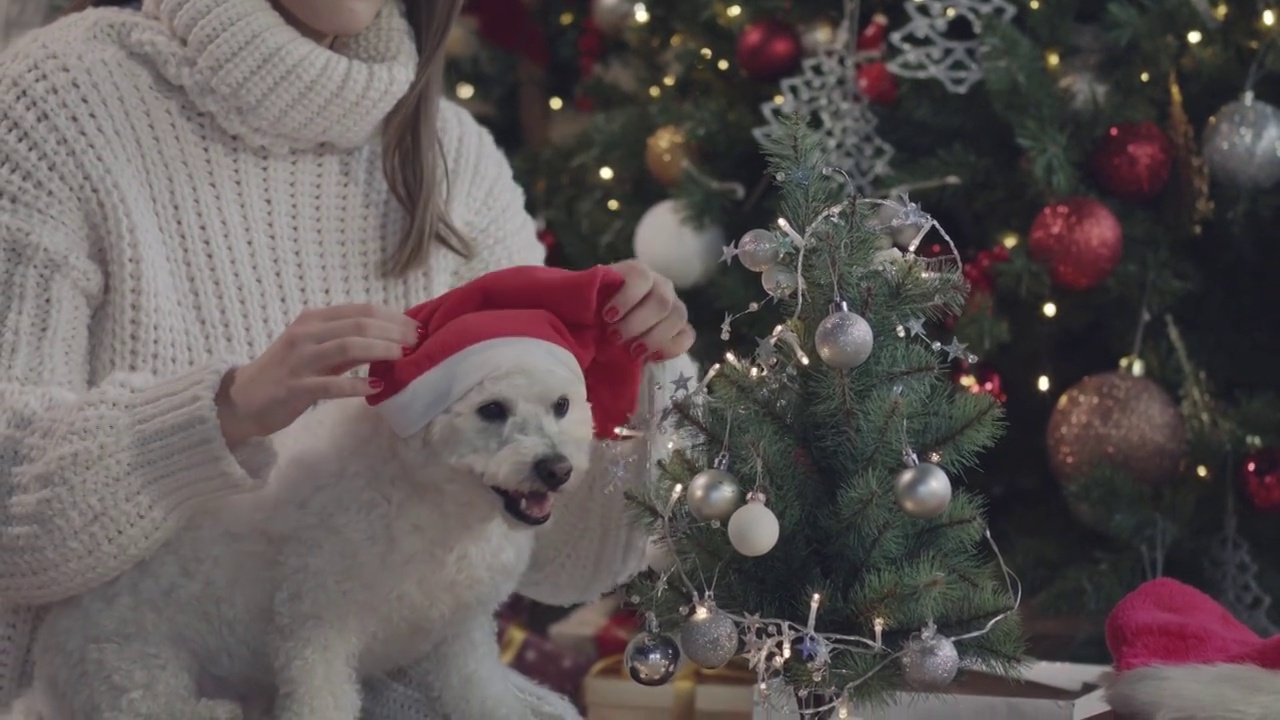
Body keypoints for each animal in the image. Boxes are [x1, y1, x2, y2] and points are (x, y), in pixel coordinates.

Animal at [7, 361, 593, 712]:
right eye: (491, 409)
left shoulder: (461, 637)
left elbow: (483, 698)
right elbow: (323, 701)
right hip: (135, 674)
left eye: (562, 405)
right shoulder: (316, 633)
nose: (557, 469)